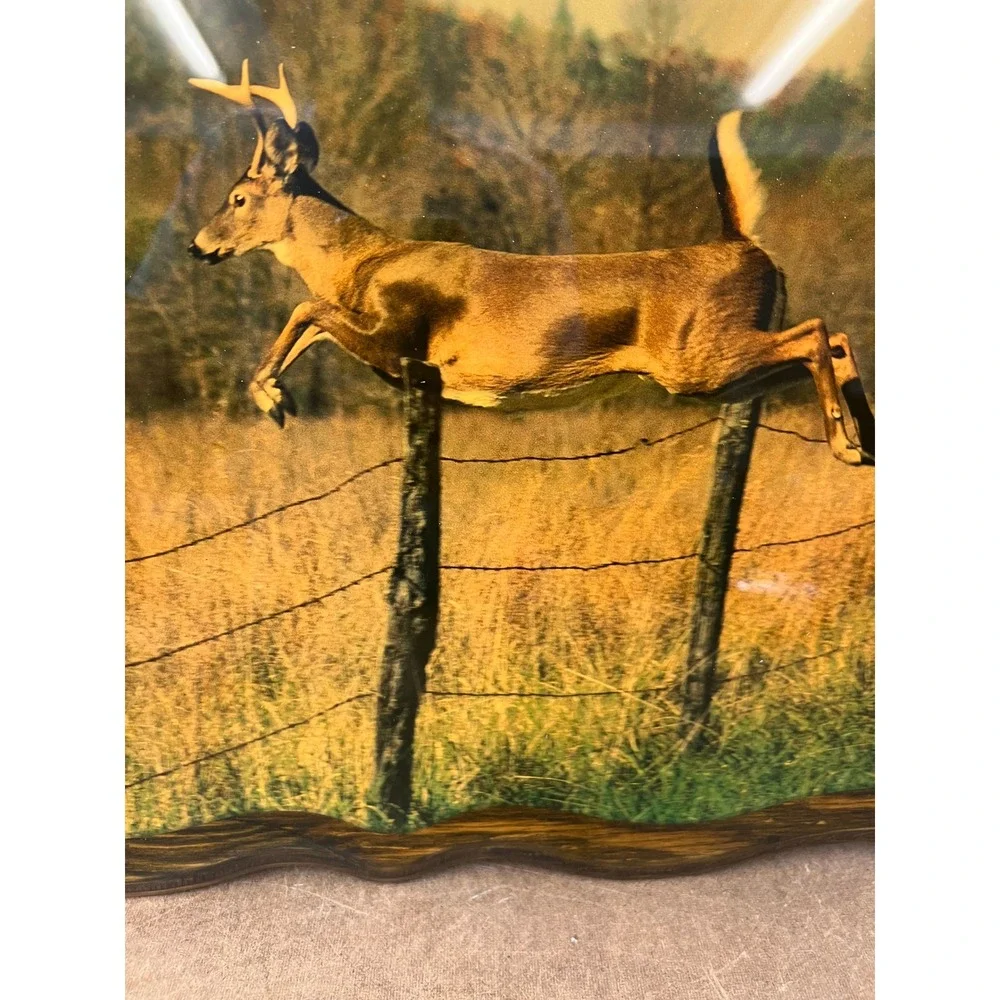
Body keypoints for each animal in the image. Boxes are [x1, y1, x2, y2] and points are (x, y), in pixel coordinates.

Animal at [188, 61, 874, 466]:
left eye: (238, 197)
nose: (198, 245)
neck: (363, 262)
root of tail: (745, 245)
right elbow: (312, 322)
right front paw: (275, 393)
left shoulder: (399, 337)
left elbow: (306, 308)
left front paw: (270, 397)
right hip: (717, 367)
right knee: (833, 338)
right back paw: (865, 439)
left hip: (697, 354)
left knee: (817, 332)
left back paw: (843, 442)